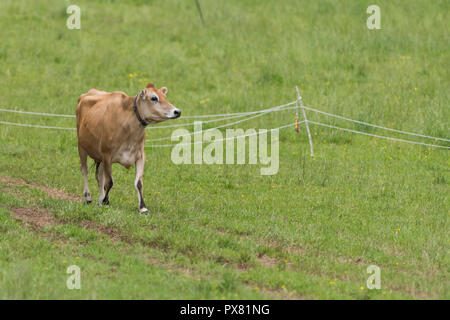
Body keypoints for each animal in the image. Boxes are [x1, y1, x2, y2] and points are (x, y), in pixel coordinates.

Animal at [76, 82, 180, 214]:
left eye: (165, 97)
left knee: (100, 176)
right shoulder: (107, 155)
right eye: (154, 98)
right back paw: (88, 197)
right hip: (81, 147)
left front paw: (143, 208)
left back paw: (100, 199)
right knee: (84, 170)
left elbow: (138, 183)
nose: (177, 111)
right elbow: (109, 182)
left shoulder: (140, 156)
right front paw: (106, 201)